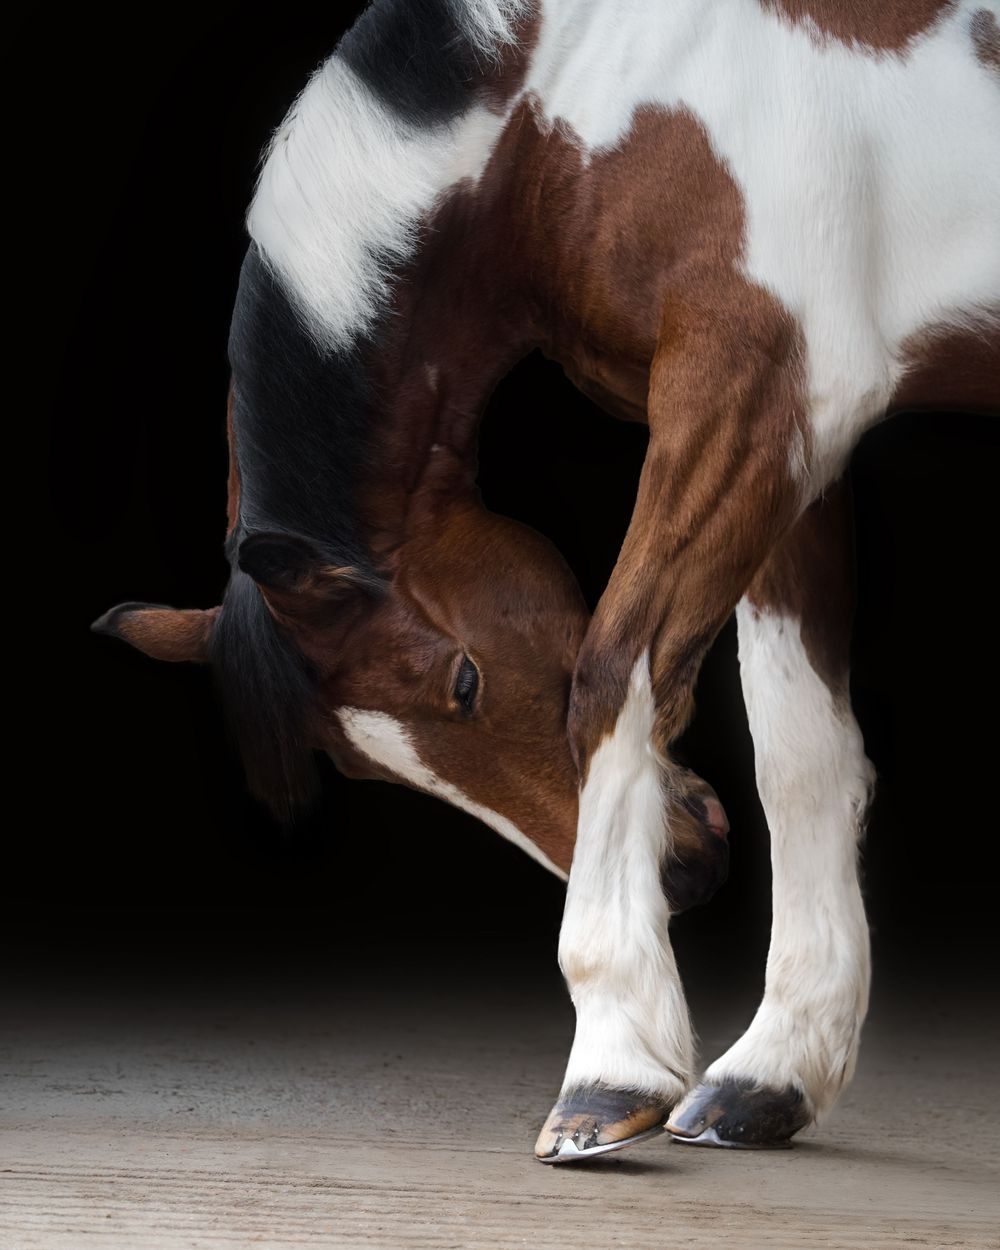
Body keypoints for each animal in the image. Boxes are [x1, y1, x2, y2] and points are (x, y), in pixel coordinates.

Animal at [93, 0, 999, 1162]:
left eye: (464, 681)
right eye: (363, 766)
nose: (682, 876)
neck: (565, 102)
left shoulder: (751, 385)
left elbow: (615, 673)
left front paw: (611, 1068)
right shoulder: (800, 440)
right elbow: (799, 748)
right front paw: (771, 1075)